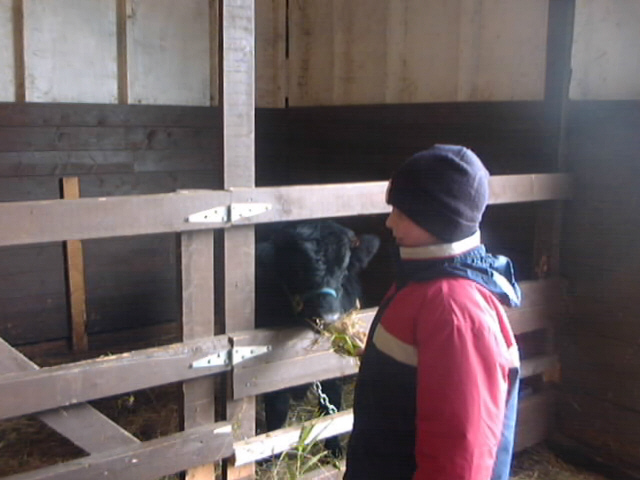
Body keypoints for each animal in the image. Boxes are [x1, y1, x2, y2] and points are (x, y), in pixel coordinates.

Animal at [256, 220, 380, 456]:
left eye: (344, 271)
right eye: (298, 269)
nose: (329, 316)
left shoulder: (329, 364)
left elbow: (332, 404)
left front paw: (335, 448)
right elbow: (277, 407)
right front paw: (269, 455)